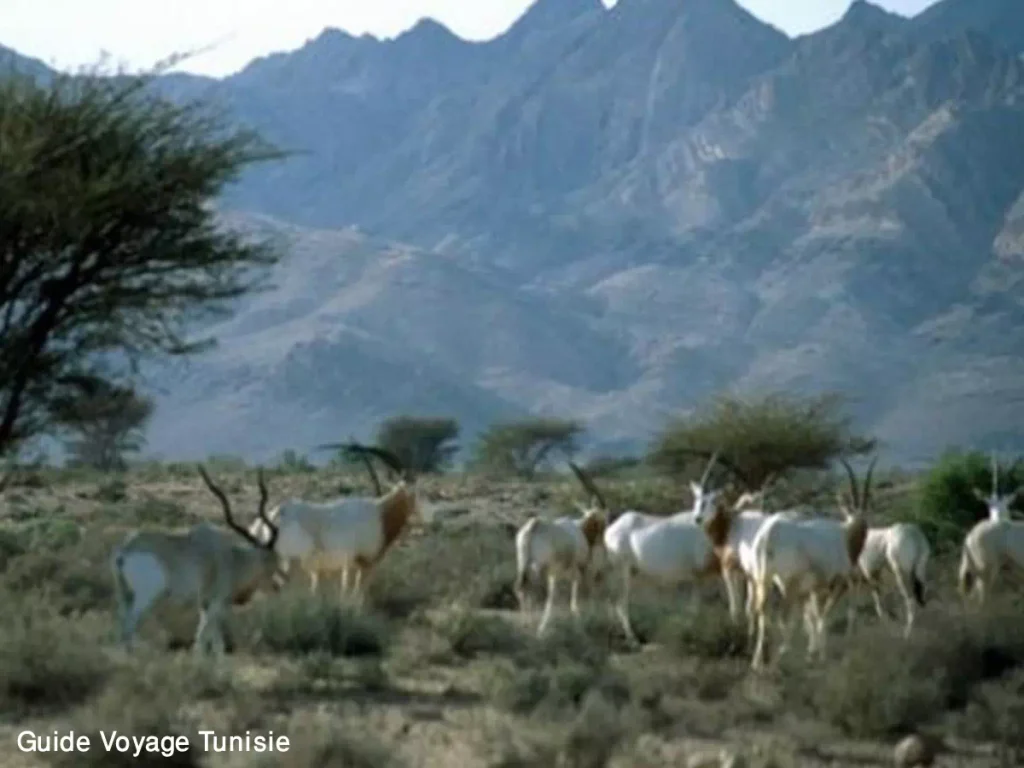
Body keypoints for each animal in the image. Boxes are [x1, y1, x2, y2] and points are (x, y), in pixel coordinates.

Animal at [111, 466, 284, 659]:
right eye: (273, 561)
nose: (277, 587)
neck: (232, 558)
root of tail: (125, 550)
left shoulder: (205, 604)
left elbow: (216, 642)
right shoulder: (216, 603)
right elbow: (203, 638)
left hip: (124, 596)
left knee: (122, 625)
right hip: (145, 597)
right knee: (129, 626)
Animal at [268, 444, 423, 602]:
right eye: (415, 490)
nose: (420, 513)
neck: (380, 513)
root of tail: (279, 512)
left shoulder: (354, 565)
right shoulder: (361, 563)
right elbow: (355, 590)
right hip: (290, 563)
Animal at [512, 462, 606, 638]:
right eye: (605, 519)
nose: (602, 542)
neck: (580, 528)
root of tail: (533, 526)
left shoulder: (554, 575)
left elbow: (552, 598)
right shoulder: (577, 571)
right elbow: (574, 602)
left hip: (523, 565)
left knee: (521, 588)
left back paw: (525, 625)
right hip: (538, 568)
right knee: (533, 591)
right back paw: (532, 627)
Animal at [598, 454, 737, 647]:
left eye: (712, 500)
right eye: (697, 499)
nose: (697, 518)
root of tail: (611, 529)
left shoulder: (703, 578)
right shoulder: (698, 576)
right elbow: (697, 607)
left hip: (630, 572)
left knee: (613, 602)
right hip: (623, 570)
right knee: (619, 603)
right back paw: (633, 640)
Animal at [749, 460, 876, 671]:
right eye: (851, 511)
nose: (863, 527)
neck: (844, 535)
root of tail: (769, 534)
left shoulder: (811, 590)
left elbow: (812, 616)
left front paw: (812, 652)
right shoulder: (833, 584)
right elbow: (823, 615)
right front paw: (820, 655)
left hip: (763, 579)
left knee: (761, 611)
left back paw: (758, 662)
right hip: (788, 583)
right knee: (783, 616)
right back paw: (781, 657)